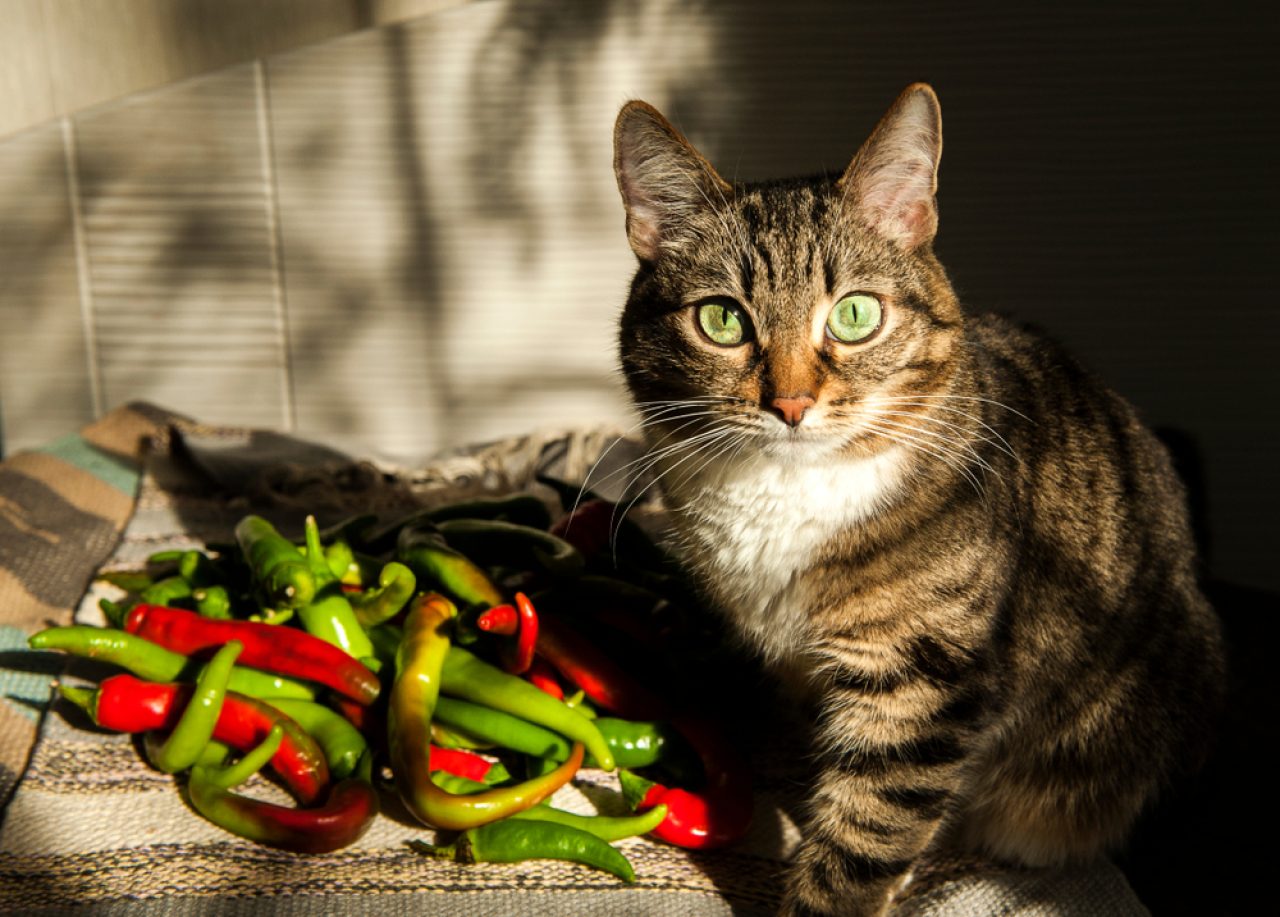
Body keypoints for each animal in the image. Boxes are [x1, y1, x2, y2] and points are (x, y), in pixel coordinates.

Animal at [611, 82, 1228, 911]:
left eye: (855, 314)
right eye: (721, 319)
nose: (791, 403)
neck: (786, 494)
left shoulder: (922, 676)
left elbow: (864, 834)